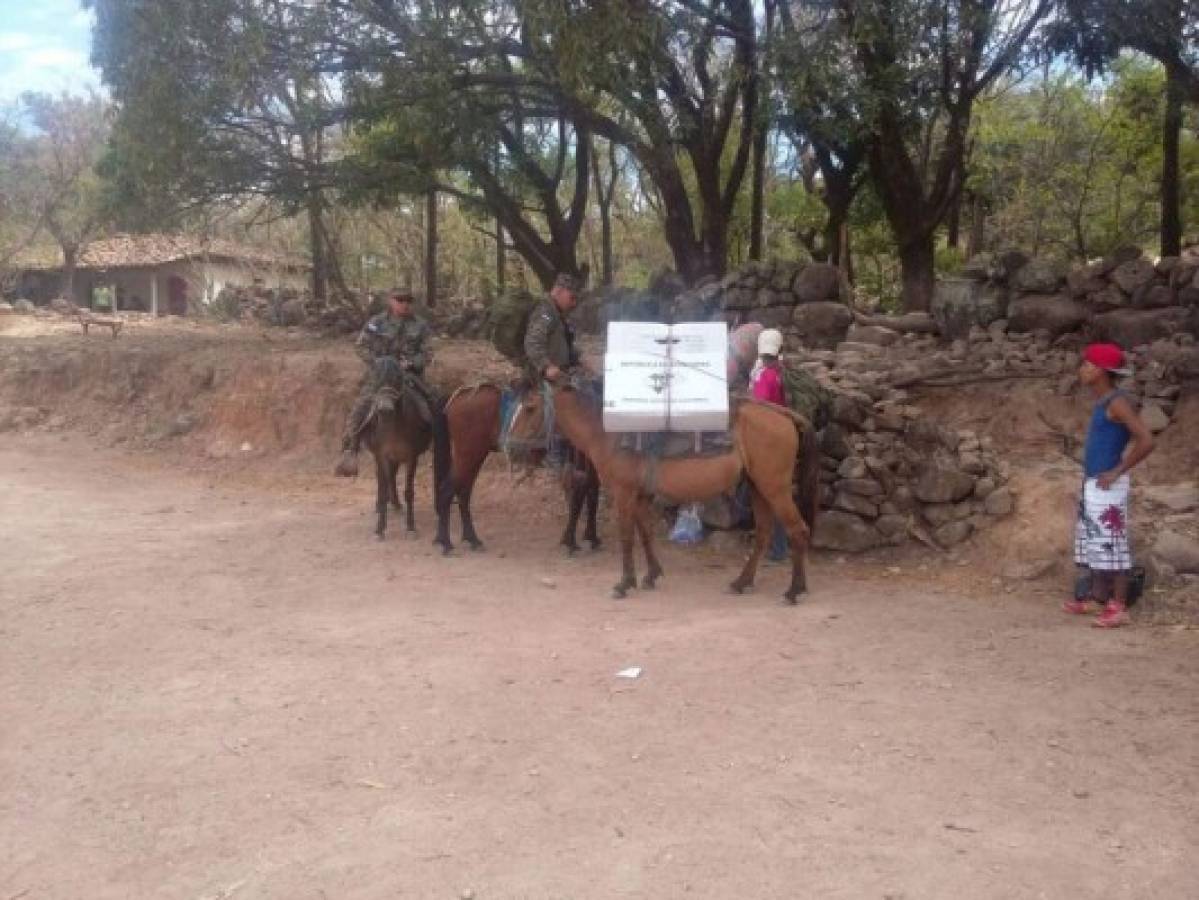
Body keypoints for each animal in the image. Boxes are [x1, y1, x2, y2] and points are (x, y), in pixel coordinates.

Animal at [431, 383, 599, 553]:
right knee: (447, 491)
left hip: (475, 456)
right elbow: (579, 499)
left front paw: (591, 538)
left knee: (463, 493)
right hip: (467, 456)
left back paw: (472, 539)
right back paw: (446, 542)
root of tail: (456, 396)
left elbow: (592, 497)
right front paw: (571, 541)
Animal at [549, 381, 820, 606]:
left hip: (775, 488)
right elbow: (645, 534)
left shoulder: (624, 494)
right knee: (763, 534)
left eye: (536, 405)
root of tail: (784, 414)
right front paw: (651, 575)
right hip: (758, 488)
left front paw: (624, 583)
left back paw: (794, 591)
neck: (608, 433)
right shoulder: (641, 496)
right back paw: (741, 582)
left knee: (798, 531)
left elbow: (627, 538)